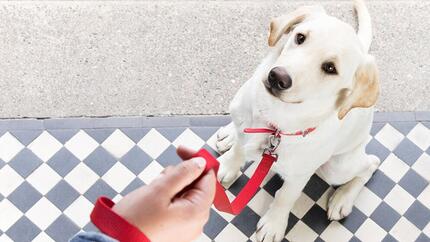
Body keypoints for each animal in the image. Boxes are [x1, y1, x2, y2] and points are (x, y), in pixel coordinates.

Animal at [215, 0, 380, 241]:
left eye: (330, 68)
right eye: (300, 37)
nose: (277, 77)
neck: (276, 121)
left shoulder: (300, 174)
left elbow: (285, 197)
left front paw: (273, 224)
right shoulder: (246, 128)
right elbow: (238, 149)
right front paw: (227, 165)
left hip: (337, 168)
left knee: (371, 164)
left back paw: (343, 198)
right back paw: (228, 134)